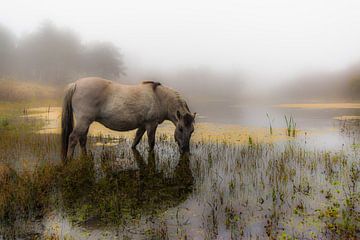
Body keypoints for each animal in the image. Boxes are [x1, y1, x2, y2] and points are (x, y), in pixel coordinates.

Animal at [62, 78, 197, 162]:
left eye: (192, 131)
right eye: (180, 128)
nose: (186, 151)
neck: (159, 97)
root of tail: (75, 84)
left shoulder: (142, 125)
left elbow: (136, 141)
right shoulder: (151, 125)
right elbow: (151, 143)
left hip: (86, 122)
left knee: (82, 139)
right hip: (83, 121)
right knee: (73, 138)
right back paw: (68, 160)